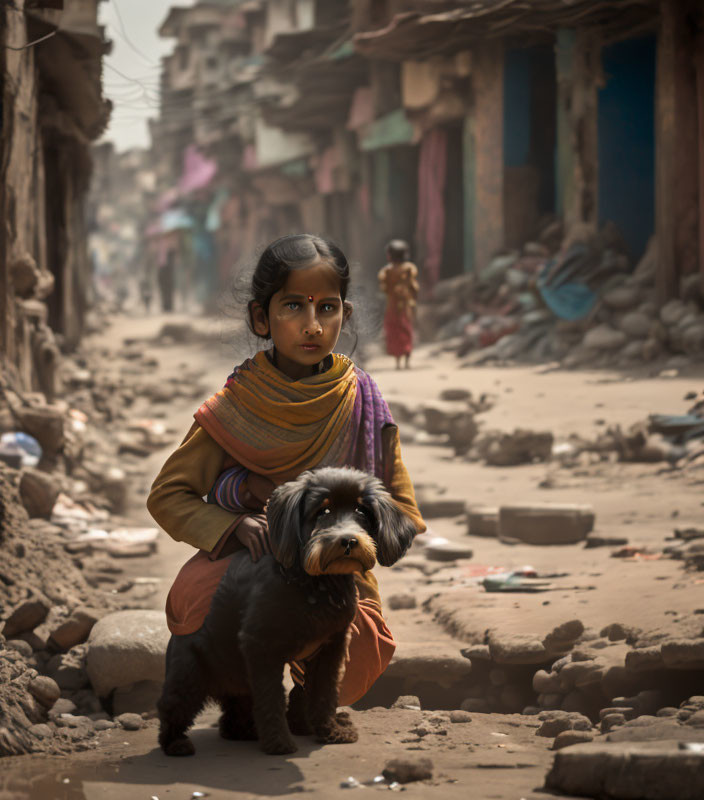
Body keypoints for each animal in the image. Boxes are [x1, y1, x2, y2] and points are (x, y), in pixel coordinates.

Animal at [157, 466, 416, 752]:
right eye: (323, 511)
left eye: (361, 511)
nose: (348, 541)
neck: (315, 584)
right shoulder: (261, 646)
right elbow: (272, 697)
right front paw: (279, 743)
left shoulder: (332, 647)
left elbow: (324, 693)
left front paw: (330, 731)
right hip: (191, 672)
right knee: (173, 705)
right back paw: (176, 743)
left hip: (238, 681)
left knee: (232, 717)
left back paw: (247, 731)